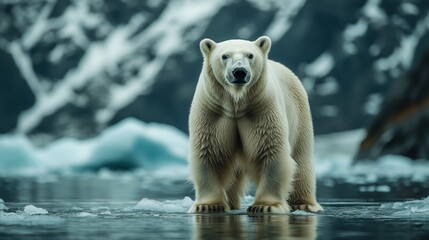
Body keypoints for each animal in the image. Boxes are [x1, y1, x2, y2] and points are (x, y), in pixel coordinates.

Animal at [187, 36, 320, 214]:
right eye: (224, 56)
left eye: (250, 55)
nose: (239, 72)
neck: (236, 103)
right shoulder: (212, 112)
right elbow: (208, 151)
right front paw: (208, 205)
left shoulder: (262, 109)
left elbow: (271, 150)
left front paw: (266, 206)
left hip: (300, 116)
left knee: (301, 160)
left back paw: (304, 204)